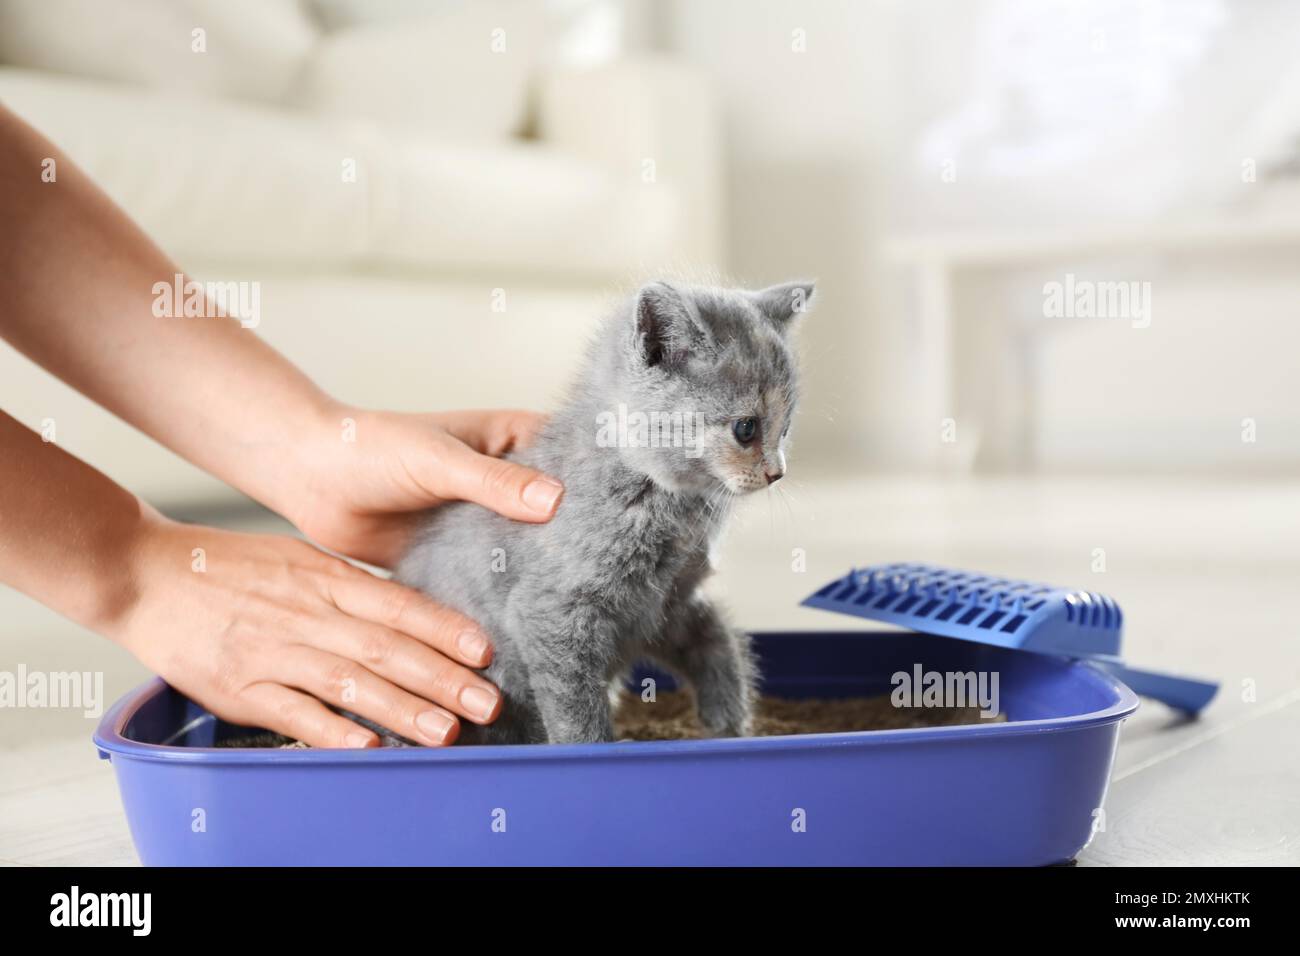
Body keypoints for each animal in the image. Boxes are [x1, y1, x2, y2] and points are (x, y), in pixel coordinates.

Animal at [384, 280, 816, 743]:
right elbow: (575, 705)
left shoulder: (668, 602)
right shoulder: (552, 612)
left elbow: (717, 642)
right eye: (746, 429)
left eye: (785, 429)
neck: (670, 504)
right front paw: (593, 748)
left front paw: (730, 724)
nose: (777, 473)